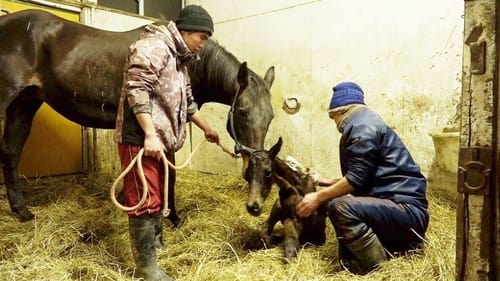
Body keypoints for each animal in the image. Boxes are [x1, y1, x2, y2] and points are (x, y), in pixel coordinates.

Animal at [0, 9, 276, 222]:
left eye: (271, 117)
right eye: (242, 111)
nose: (255, 168)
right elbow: (168, 175)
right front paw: (172, 217)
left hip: (25, 103)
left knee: (11, 152)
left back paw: (23, 212)